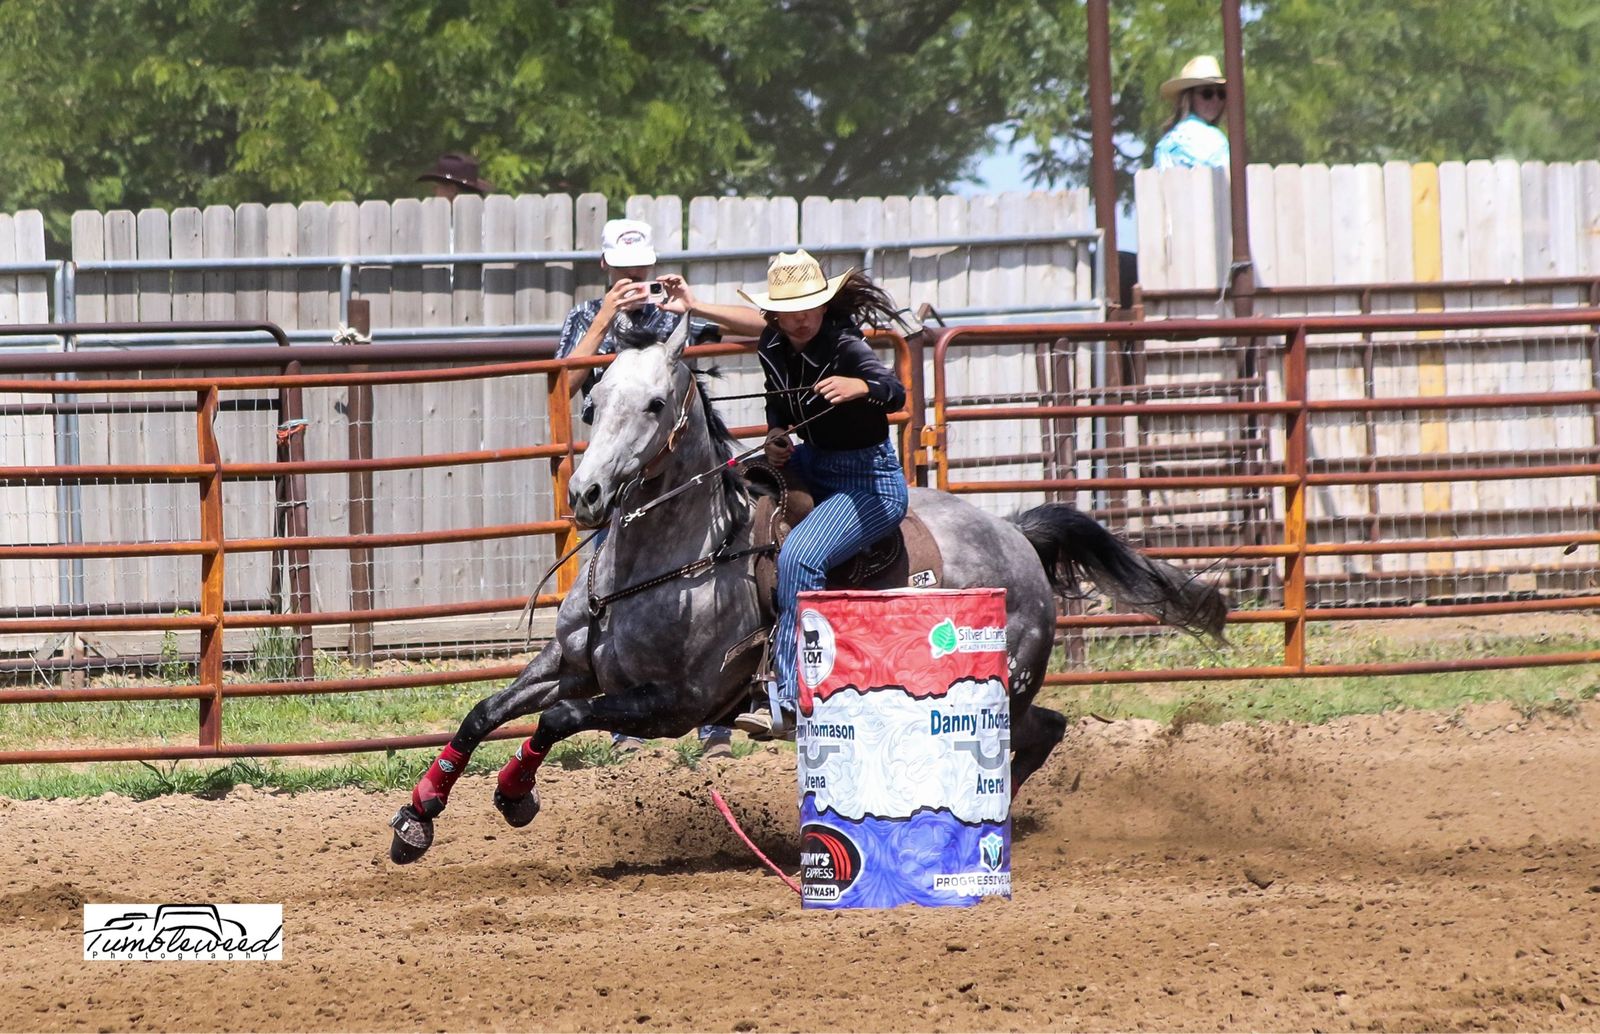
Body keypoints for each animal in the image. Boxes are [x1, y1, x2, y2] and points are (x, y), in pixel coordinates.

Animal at [388, 315, 1227, 863]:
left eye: (654, 405)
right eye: (591, 403)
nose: (589, 494)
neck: (676, 559)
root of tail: (1017, 533)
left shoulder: (676, 704)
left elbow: (557, 720)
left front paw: (515, 795)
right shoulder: (571, 663)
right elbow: (483, 712)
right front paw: (417, 818)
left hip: (996, 684)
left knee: (1037, 732)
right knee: (1043, 728)